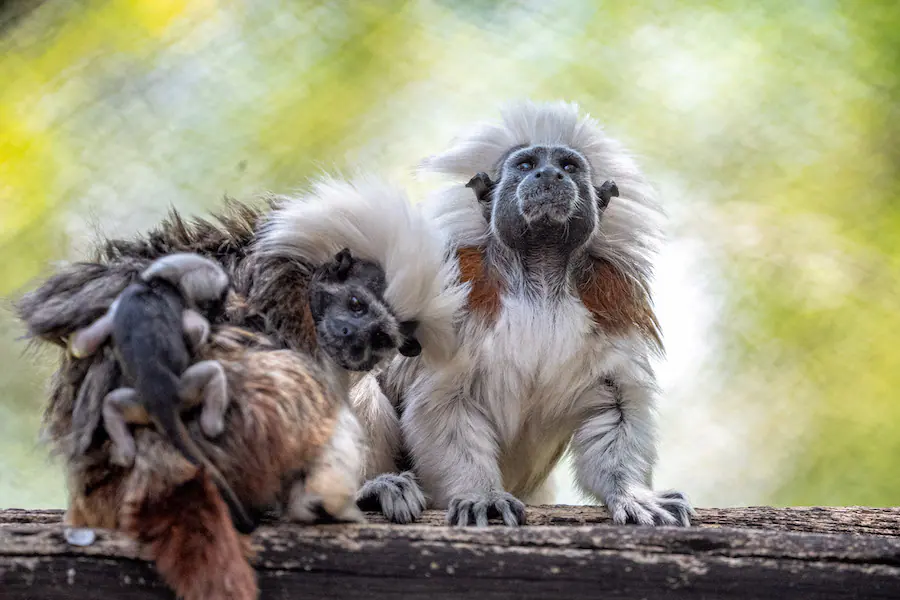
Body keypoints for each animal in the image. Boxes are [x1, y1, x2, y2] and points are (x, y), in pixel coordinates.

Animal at [351, 100, 694, 528]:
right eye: (527, 165)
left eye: (568, 166)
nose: (548, 175)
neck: (540, 282)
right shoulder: (456, 304)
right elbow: (442, 404)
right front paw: (482, 495)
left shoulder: (612, 308)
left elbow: (615, 407)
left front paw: (633, 495)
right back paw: (376, 488)